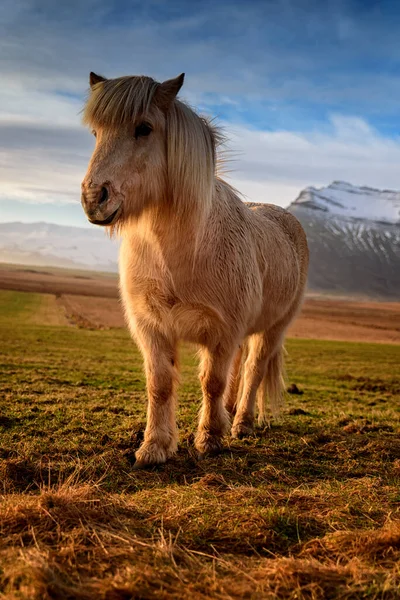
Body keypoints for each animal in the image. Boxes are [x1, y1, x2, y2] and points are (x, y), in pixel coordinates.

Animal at [79, 71, 308, 468]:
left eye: (144, 128)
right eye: (96, 133)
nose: (94, 198)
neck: (184, 251)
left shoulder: (221, 331)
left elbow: (211, 382)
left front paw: (208, 440)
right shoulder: (153, 328)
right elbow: (160, 384)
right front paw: (154, 447)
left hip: (274, 328)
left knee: (253, 369)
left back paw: (241, 423)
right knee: (239, 368)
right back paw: (228, 415)